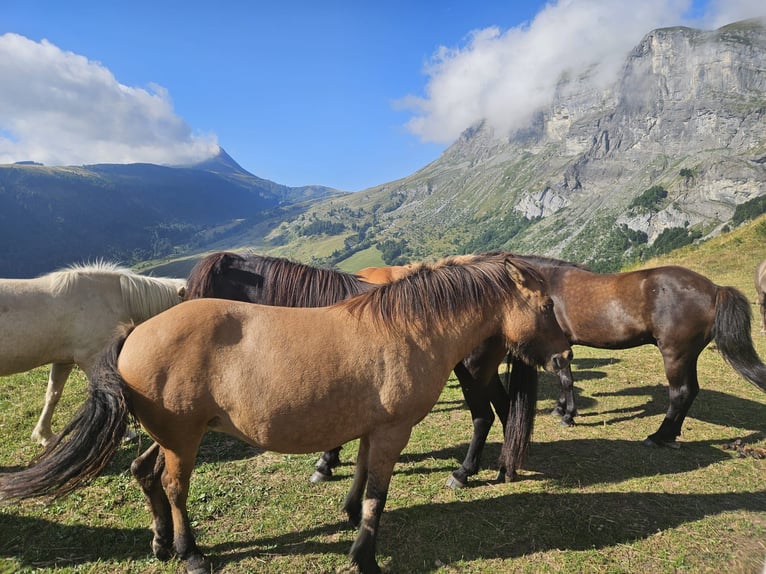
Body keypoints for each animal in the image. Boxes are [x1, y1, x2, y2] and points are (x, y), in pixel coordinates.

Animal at [0, 261, 186, 445]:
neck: (110, 299)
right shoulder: (92, 359)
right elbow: (109, 394)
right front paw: (126, 434)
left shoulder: (64, 361)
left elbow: (52, 395)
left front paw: (44, 435)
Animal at [186, 252, 536, 488]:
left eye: (202, 293)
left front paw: (325, 464)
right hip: (485, 372)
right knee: (506, 408)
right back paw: (506, 467)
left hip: (472, 371)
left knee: (483, 416)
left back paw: (464, 473)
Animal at [515, 254, 766, 447]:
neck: (548, 287)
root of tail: (715, 289)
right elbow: (562, 380)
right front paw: (560, 409)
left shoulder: (562, 345)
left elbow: (566, 381)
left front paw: (568, 416)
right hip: (688, 356)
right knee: (692, 390)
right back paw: (671, 435)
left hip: (675, 355)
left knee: (680, 392)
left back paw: (658, 436)